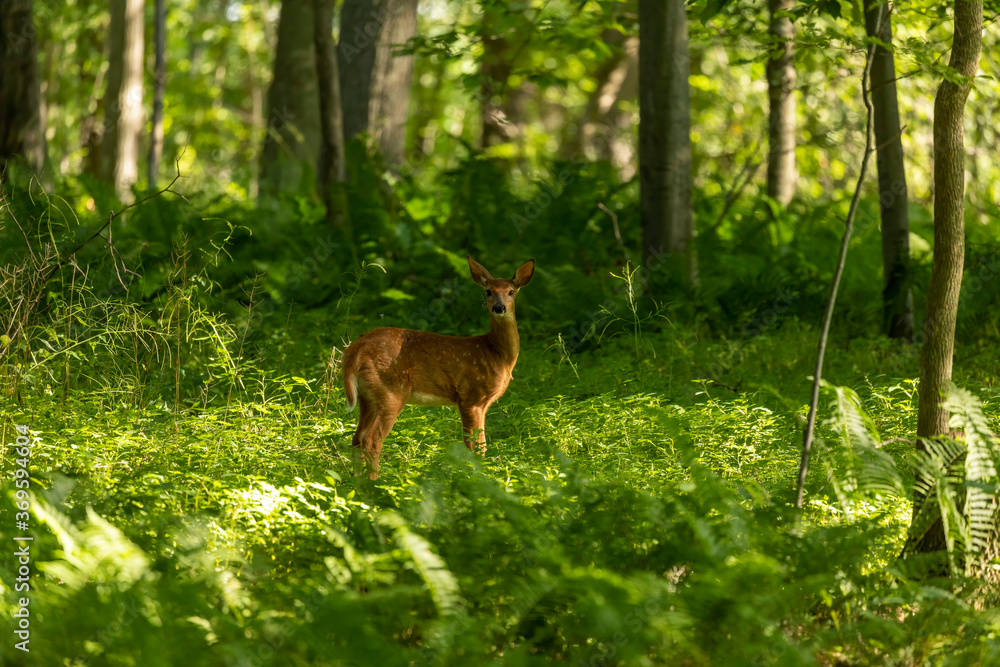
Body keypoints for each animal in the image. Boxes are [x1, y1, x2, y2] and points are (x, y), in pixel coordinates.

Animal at [341, 255, 535, 479]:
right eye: (488, 291)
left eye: (511, 291)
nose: (498, 307)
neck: (495, 353)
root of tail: (356, 349)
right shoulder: (471, 396)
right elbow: (477, 447)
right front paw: (476, 479)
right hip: (390, 391)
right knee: (372, 440)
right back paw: (374, 482)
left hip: (367, 397)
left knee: (357, 438)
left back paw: (356, 481)